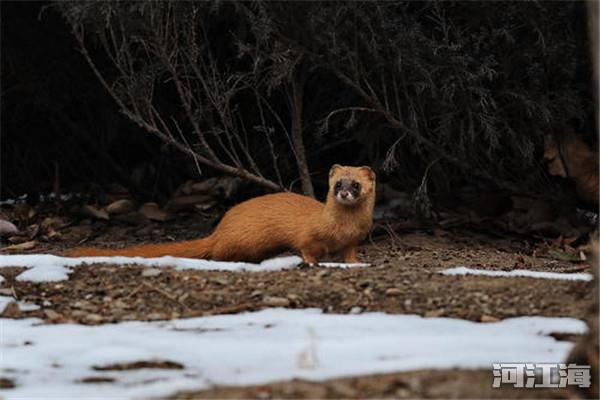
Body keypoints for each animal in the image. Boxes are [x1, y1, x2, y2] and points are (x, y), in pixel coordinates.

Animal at [65, 164, 376, 264]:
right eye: (337, 184)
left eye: (356, 184)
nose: (344, 193)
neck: (343, 228)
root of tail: (220, 230)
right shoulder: (308, 235)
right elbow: (308, 248)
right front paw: (312, 263)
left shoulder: (354, 239)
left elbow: (350, 253)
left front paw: (355, 264)